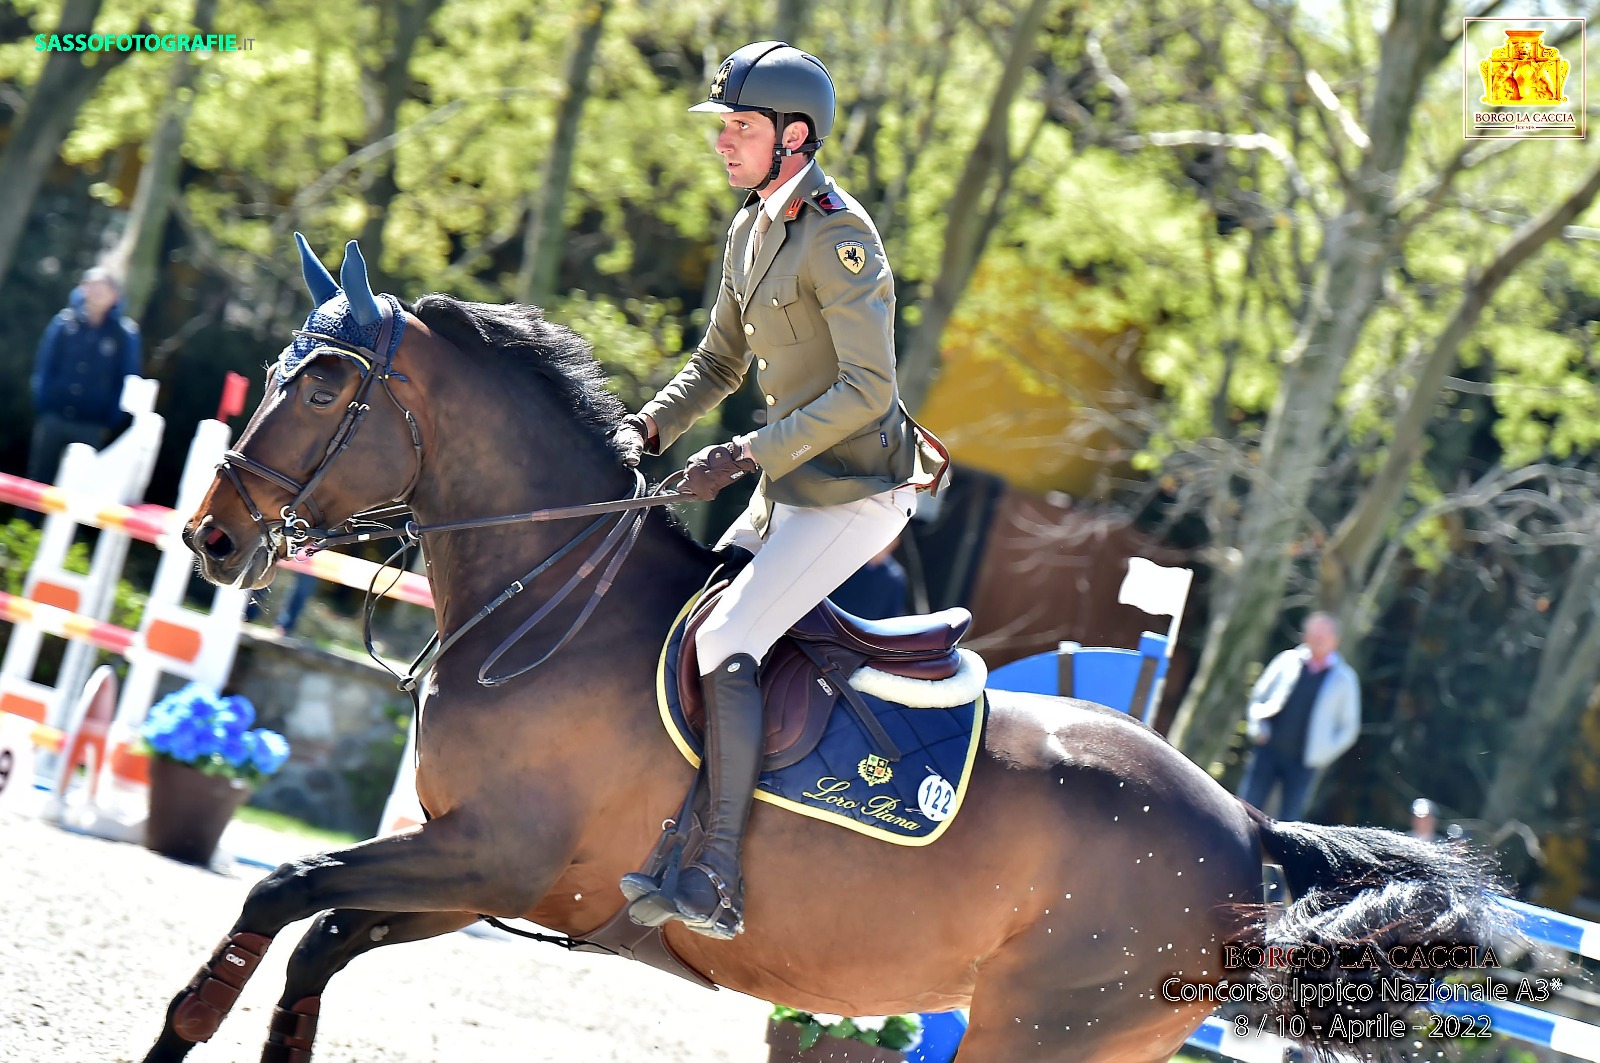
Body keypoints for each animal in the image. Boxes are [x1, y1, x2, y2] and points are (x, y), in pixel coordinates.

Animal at [144, 240, 1504, 1063]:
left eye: (326, 387)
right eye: (277, 371)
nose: (213, 536)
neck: (552, 601)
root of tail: (1241, 825)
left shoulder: (489, 854)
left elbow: (280, 889)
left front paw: (185, 1020)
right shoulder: (487, 877)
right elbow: (317, 929)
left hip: (1041, 1030)